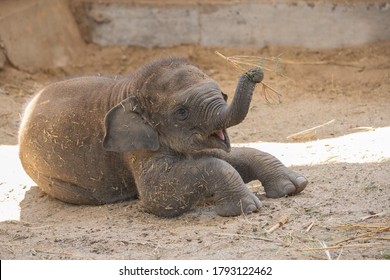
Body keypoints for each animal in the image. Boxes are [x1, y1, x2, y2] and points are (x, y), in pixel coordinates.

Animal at [19, 57, 308, 218]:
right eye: (181, 112)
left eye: (223, 95)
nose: (255, 72)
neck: (130, 87)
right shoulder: (135, 149)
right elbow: (158, 194)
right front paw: (247, 208)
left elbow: (228, 155)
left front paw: (294, 187)